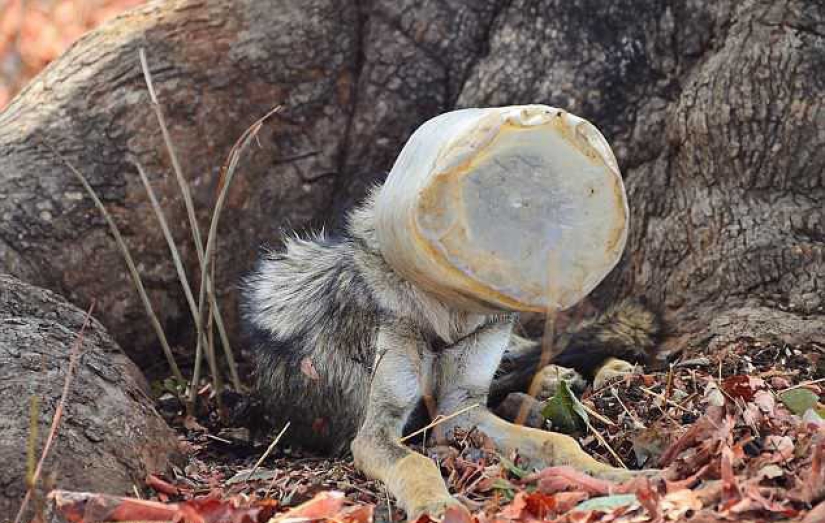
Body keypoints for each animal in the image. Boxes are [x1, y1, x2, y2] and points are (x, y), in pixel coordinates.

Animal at [242, 188, 659, 519]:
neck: (449, 316)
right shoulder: (377, 431)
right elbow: (417, 463)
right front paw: (437, 506)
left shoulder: (462, 410)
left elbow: (558, 442)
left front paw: (618, 476)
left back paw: (605, 372)